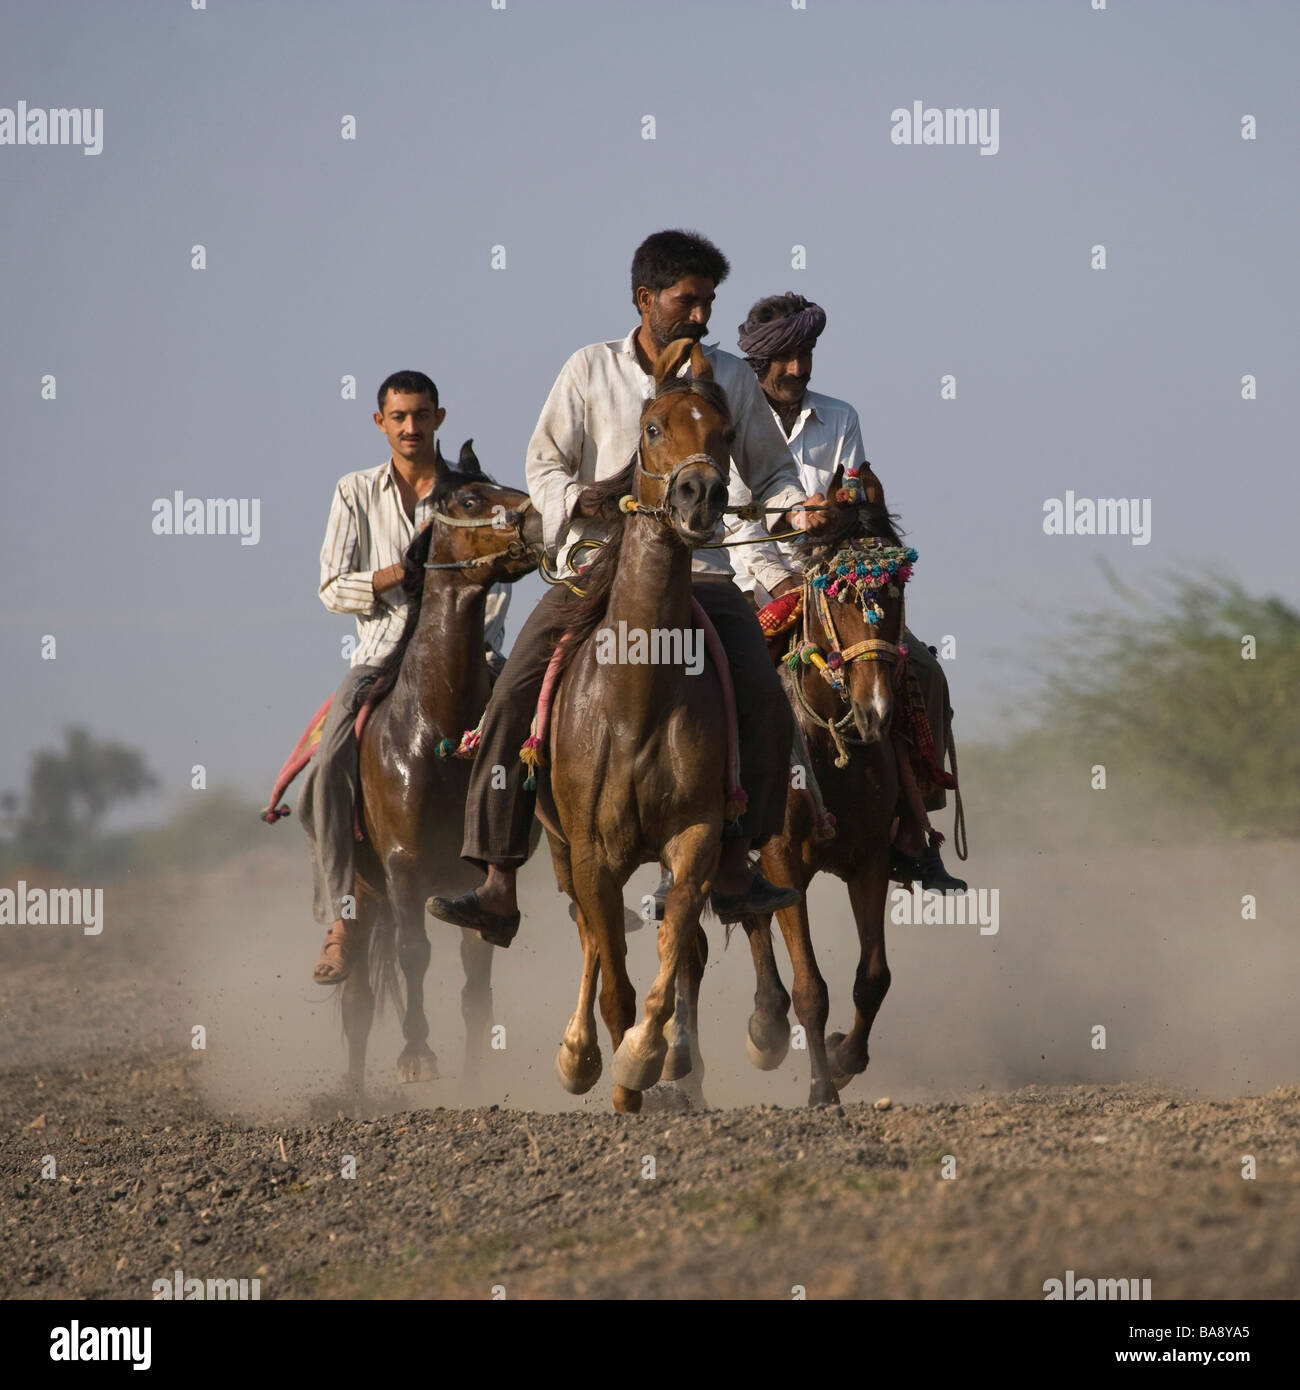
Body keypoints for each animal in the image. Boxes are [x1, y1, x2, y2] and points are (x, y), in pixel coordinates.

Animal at [340, 442, 545, 1095]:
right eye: (473, 499)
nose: (540, 518)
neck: (435, 729)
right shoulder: (404, 868)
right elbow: (414, 954)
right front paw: (416, 1055)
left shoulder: (471, 874)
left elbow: (475, 980)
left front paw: (472, 1081)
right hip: (362, 891)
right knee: (357, 997)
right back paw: (353, 1095)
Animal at [539, 336, 739, 1117]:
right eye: (653, 428)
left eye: (726, 433)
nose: (699, 494)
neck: (634, 705)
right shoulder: (592, 853)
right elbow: (614, 974)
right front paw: (615, 1077)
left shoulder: (697, 834)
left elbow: (675, 936)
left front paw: (647, 1056)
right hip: (564, 849)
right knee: (591, 939)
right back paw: (576, 1054)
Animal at [739, 475, 912, 1106]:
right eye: (834, 596)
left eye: (897, 591)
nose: (875, 711)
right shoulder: (783, 859)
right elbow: (811, 986)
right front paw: (821, 1090)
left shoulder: (872, 858)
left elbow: (874, 978)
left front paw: (842, 1059)